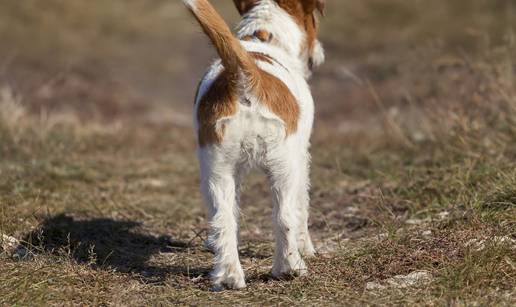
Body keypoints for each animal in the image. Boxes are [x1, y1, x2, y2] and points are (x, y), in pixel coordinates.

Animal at [183, 0, 324, 292]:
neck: (262, 37)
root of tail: (245, 76)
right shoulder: (302, 155)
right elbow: (302, 206)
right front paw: (307, 247)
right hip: (285, 166)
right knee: (285, 216)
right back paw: (290, 268)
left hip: (217, 168)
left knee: (223, 218)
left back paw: (228, 277)